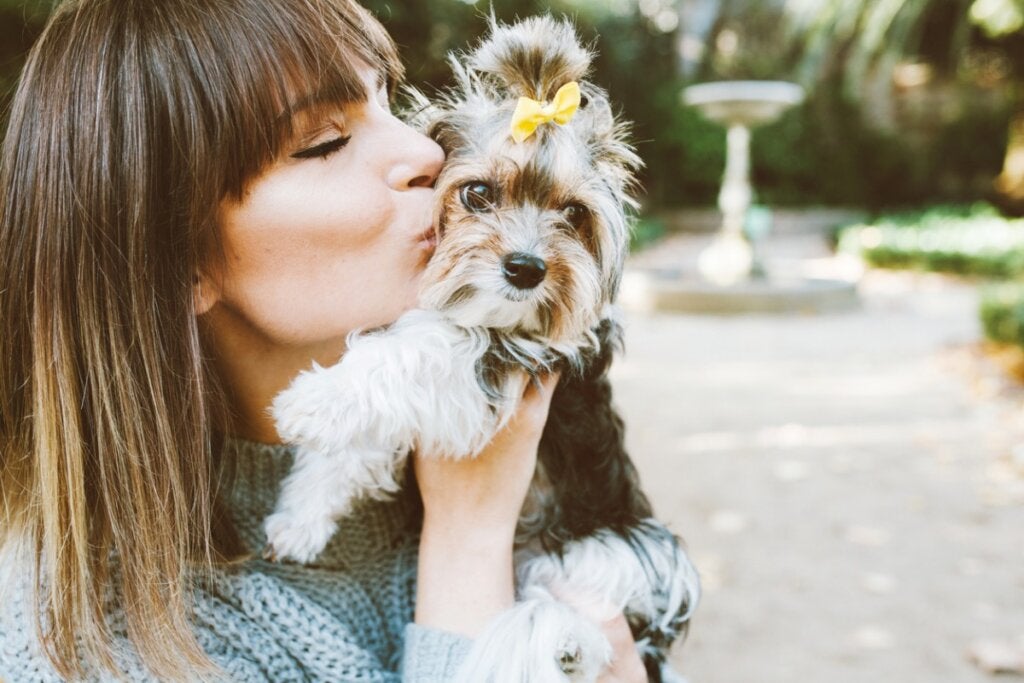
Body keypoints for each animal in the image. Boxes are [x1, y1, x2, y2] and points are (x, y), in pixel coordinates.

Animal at [266, 17, 696, 683]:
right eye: (477, 195)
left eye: (573, 213)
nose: (525, 268)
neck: (488, 310)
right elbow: (359, 446)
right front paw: (300, 517)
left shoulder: (513, 358)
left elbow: (423, 350)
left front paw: (318, 399)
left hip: (624, 549)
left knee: (577, 599)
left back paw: (564, 642)